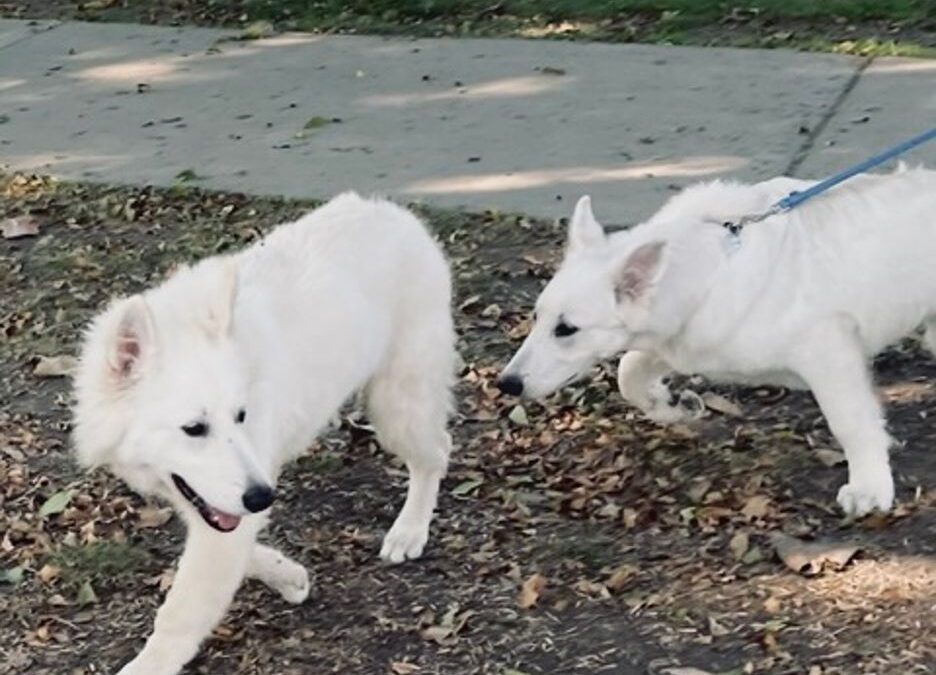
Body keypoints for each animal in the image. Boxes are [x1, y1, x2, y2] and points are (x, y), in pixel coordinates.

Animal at [72, 191, 454, 675]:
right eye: (194, 428)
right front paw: (287, 574)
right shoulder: (204, 496)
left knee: (436, 453)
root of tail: (394, 212)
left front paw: (150, 664)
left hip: (396, 406)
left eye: (240, 415)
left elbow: (182, 610)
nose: (263, 497)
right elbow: (233, 539)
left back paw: (410, 530)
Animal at [500, 168, 936, 516]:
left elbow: (852, 422)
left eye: (566, 329)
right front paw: (671, 407)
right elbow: (629, 372)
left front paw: (869, 487)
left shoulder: (829, 350)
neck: (708, 268)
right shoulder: (685, 342)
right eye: (537, 318)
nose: (506, 384)